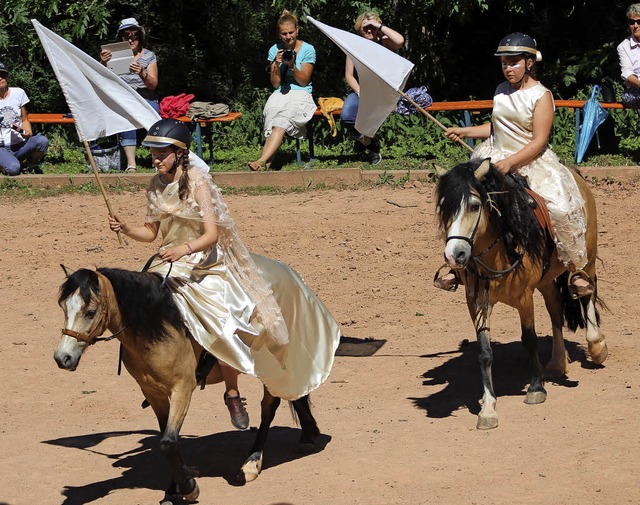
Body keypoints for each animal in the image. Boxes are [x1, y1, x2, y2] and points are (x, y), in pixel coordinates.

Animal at [54, 266, 322, 502]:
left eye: (90, 311)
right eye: (63, 307)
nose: (62, 358)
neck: (156, 327)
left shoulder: (182, 389)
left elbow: (169, 442)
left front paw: (188, 487)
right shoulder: (153, 393)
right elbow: (167, 437)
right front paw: (177, 485)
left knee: (269, 408)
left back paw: (251, 463)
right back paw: (308, 436)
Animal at [436, 158, 608, 430]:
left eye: (474, 206)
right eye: (444, 208)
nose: (455, 255)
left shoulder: (524, 297)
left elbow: (530, 339)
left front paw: (536, 388)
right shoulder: (477, 302)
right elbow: (484, 352)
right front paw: (488, 408)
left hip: (587, 257)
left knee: (587, 293)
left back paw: (596, 346)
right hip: (546, 281)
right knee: (556, 311)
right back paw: (557, 362)